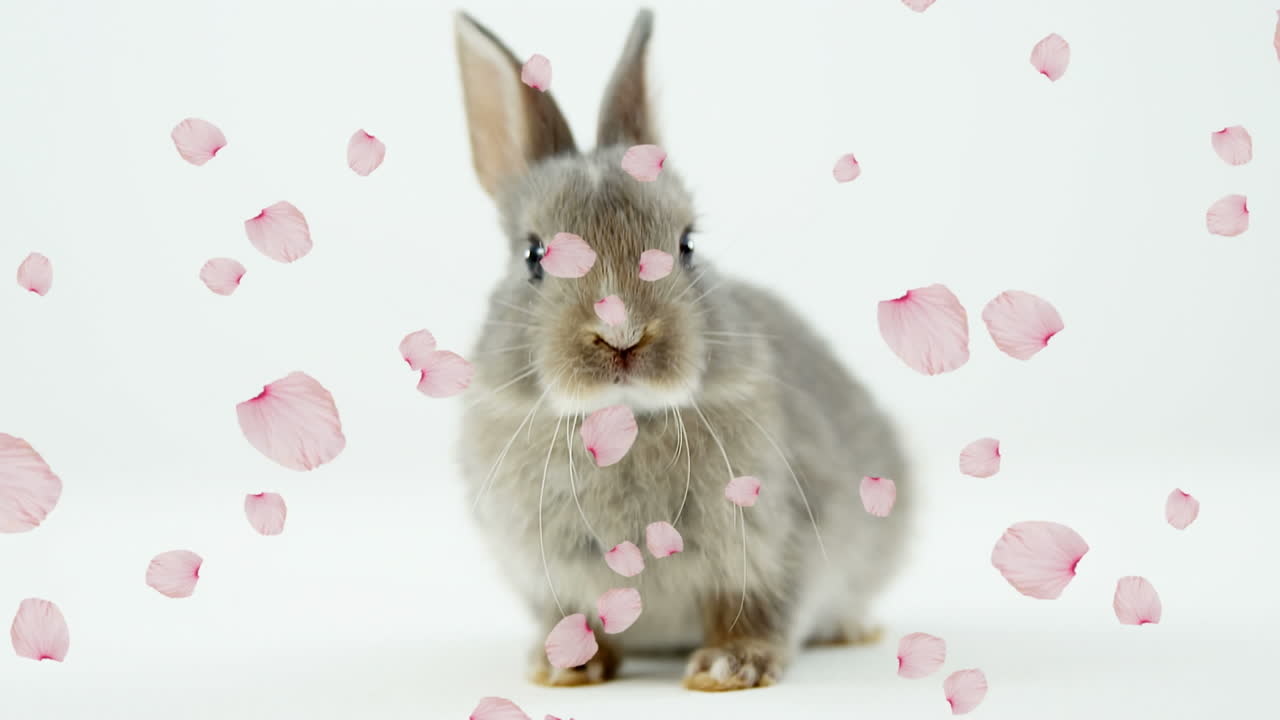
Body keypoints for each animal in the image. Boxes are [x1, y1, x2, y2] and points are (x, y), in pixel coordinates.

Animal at [452, 8, 910, 691]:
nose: (623, 336)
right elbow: (571, 615)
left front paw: (730, 666)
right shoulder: (545, 572)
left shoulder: (774, 541)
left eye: (688, 244)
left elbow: (755, 610)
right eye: (534, 256)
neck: (623, 421)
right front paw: (565, 666)